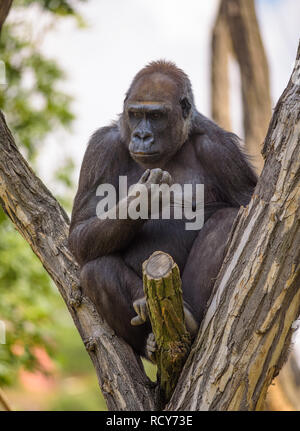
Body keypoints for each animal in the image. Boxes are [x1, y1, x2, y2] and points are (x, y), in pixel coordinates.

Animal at [69, 60, 256, 362]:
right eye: (135, 114)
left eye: (156, 116)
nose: (142, 136)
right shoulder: (101, 148)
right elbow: (80, 232)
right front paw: (141, 201)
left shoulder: (222, 150)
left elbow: (249, 204)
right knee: (96, 269)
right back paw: (148, 335)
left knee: (226, 220)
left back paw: (190, 322)